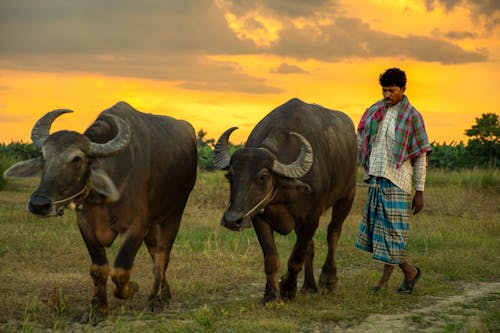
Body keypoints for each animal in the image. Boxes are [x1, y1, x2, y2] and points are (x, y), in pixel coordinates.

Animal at [5, 100, 199, 320]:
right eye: (44, 156)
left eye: (77, 158)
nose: (38, 204)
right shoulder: (86, 226)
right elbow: (98, 268)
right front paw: (97, 309)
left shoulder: (136, 227)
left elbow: (120, 270)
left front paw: (133, 288)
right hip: (152, 224)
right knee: (153, 250)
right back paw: (165, 294)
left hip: (174, 213)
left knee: (162, 255)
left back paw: (154, 300)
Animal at [213, 97, 358, 302]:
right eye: (230, 175)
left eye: (263, 176)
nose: (232, 220)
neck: (282, 194)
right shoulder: (258, 217)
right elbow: (272, 258)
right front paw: (270, 295)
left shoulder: (311, 218)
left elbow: (296, 257)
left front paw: (288, 289)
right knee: (310, 246)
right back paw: (309, 285)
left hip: (347, 195)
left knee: (333, 233)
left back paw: (328, 280)